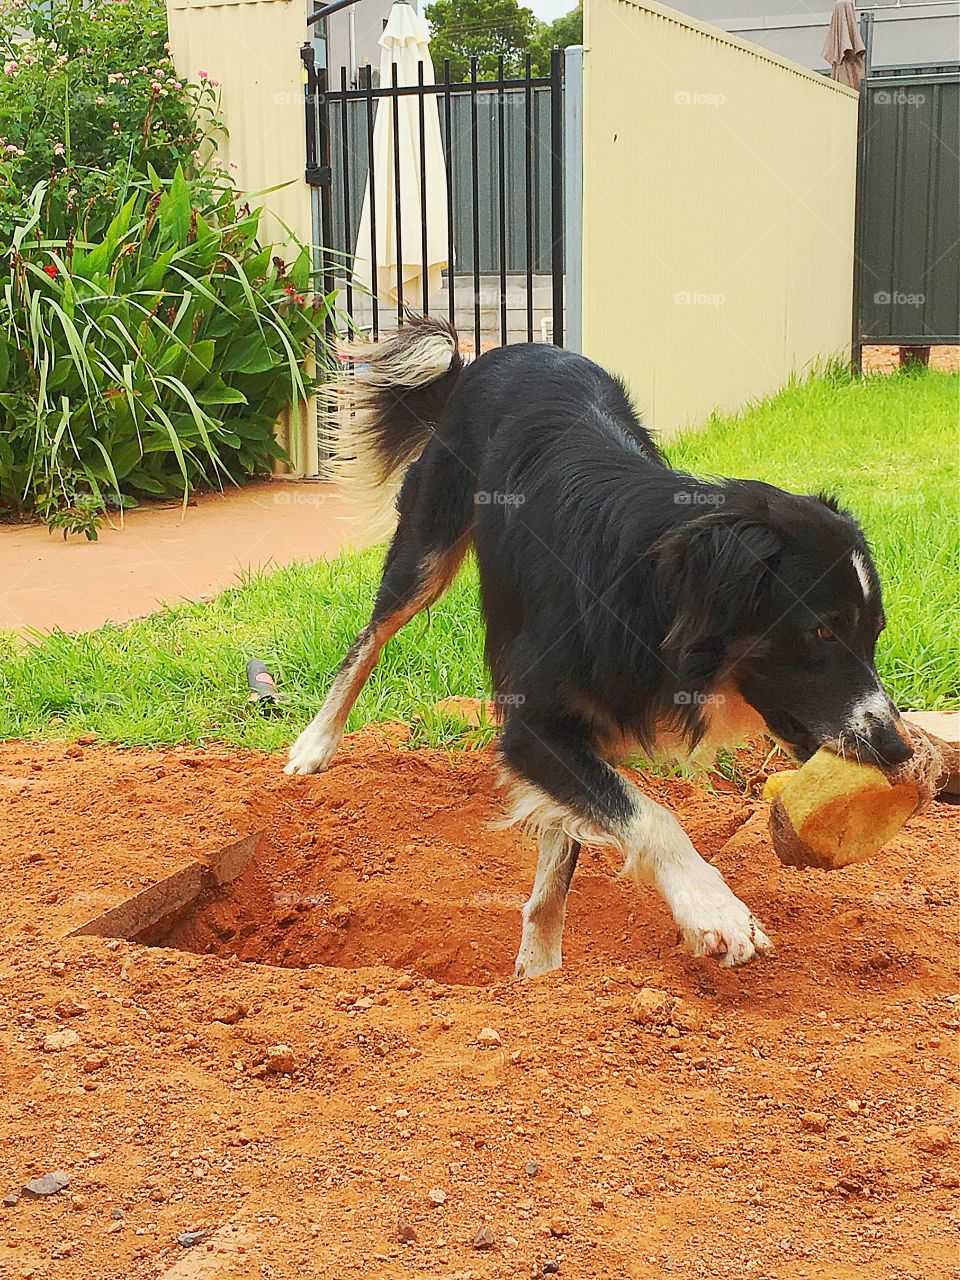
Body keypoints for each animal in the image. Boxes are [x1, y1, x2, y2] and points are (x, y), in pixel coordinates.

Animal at [284, 320, 911, 977]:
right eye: (822, 632)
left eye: (874, 633)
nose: (899, 748)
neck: (646, 590)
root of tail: (490, 355)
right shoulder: (534, 731)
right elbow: (651, 816)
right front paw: (714, 910)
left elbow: (558, 865)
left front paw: (539, 974)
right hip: (427, 541)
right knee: (370, 637)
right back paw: (315, 744)